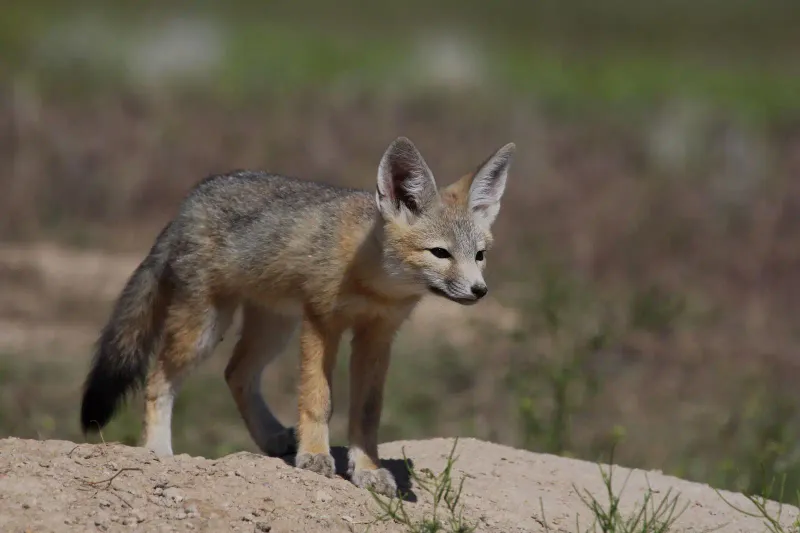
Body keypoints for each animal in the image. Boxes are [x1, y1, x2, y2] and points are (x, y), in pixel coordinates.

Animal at [79, 136, 515, 496]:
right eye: (440, 253)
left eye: (480, 255)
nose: (479, 290)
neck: (374, 282)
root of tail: (193, 197)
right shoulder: (321, 323)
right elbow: (317, 398)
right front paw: (316, 456)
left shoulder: (377, 336)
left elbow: (367, 413)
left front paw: (368, 469)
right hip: (205, 328)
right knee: (158, 379)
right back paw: (157, 449)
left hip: (274, 328)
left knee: (236, 373)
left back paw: (271, 437)